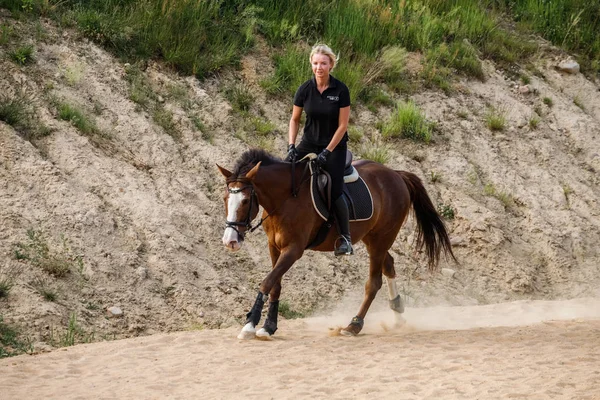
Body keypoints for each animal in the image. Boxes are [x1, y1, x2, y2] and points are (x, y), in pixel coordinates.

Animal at [217, 148, 454, 340]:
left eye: (245, 200)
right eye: (225, 199)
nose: (230, 241)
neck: (286, 198)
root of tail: (396, 174)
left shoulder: (293, 249)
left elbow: (267, 281)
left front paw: (250, 325)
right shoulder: (273, 247)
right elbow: (275, 284)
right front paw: (269, 327)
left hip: (381, 238)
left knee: (373, 282)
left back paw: (354, 326)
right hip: (373, 238)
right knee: (389, 265)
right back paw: (397, 316)